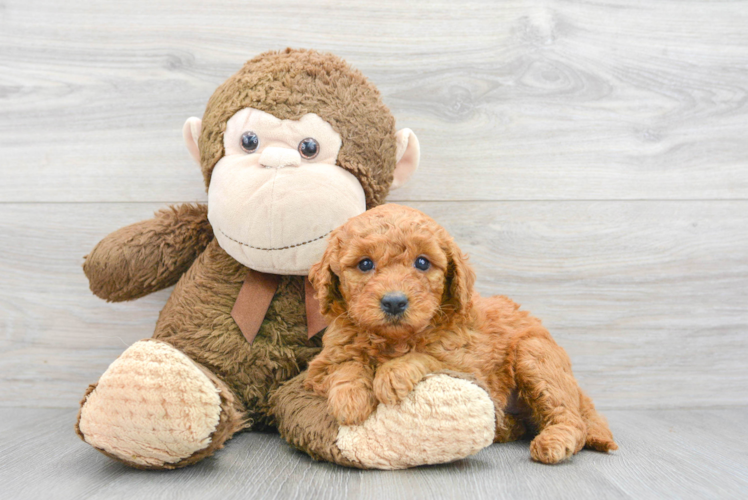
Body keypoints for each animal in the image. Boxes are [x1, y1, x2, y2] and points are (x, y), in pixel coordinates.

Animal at [306, 204, 620, 464]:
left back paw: (552, 442)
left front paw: (391, 375)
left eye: (422, 263)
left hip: (534, 353)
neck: (394, 339)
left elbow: (427, 357)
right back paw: (506, 428)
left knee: (573, 420)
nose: (394, 302)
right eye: (365, 264)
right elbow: (345, 365)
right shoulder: (321, 364)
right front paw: (350, 400)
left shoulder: (468, 365)